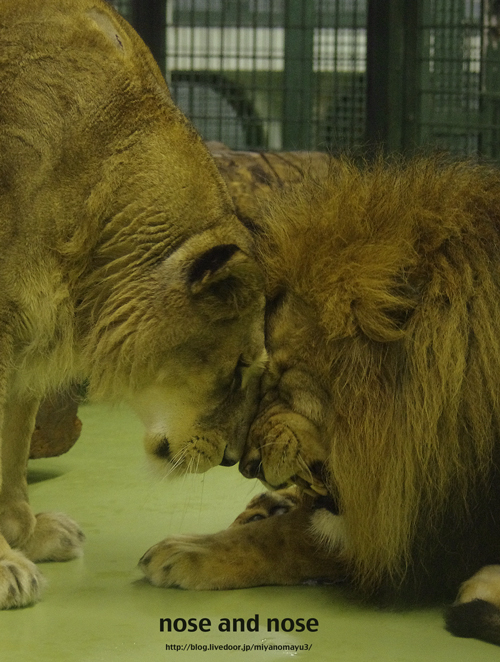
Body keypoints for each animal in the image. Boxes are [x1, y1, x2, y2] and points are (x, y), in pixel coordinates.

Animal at [0, 0, 266, 608]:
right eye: (240, 365)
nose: (231, 460)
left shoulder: (30, 331)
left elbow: (14, 444)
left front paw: (26, 533)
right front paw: (4, 566)